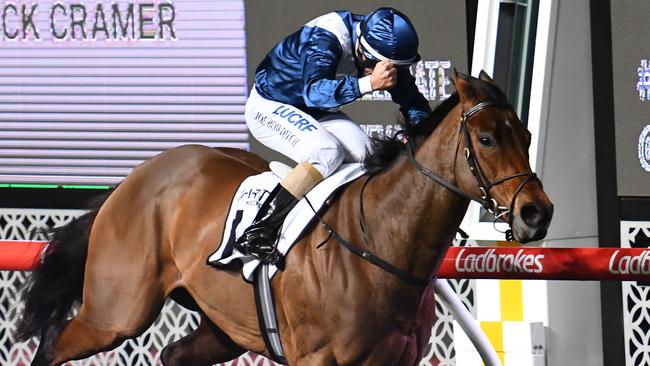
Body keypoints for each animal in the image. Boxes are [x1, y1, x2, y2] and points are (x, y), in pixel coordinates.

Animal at [15, 70, 548, 364]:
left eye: (524, 133)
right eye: (486, 139)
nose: (536, 212)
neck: (379, 243)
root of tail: (132, 180)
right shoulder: (318, 359)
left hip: (223, 324)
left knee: (172, 354)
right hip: (117, 312)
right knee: (55, 341)